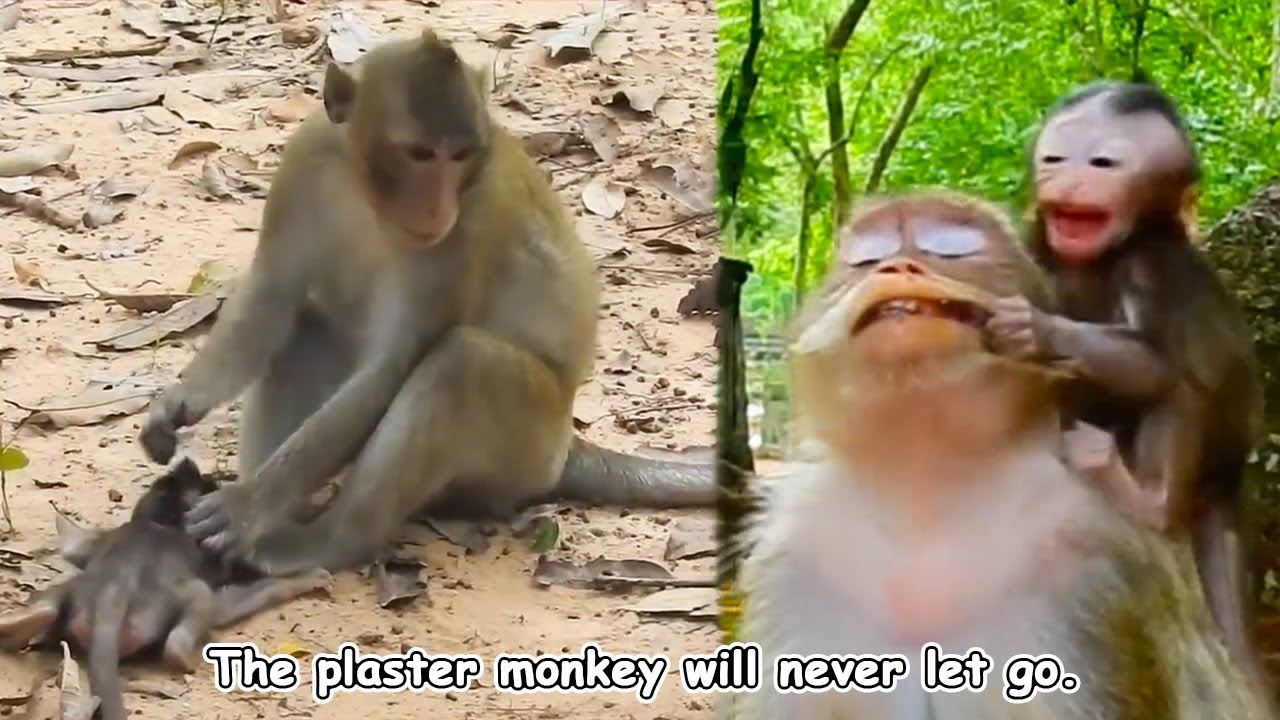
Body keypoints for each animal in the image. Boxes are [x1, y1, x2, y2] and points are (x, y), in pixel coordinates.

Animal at [0, 459, 331, 720]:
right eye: (207, 484)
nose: (187, 465)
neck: (158, 521)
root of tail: (113, 591)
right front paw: (310, 576)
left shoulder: (99, 540)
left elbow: (76, 545)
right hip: (182, 598)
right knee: (193, 621)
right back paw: (186, 658)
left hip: (75, 589)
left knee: (48, 606)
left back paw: (19, 626)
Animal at [133, 29, 713, 578]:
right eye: (419, 154)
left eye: (458, 156)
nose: (436, 208)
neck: (370, 196)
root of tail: (565, 447)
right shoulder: (305, 159)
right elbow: (274, 295)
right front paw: (180, 401)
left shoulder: (470, 217)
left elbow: (394, 365)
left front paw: (248, 506)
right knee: (310, 325)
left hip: (525, 448)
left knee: (464, 361)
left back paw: (328, 539)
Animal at [730, 191, 1271, 720]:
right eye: (867, 259)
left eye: (949, 248)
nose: (897, 267)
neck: (927, 489)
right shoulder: (799, 567)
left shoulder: (1088, 570)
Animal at [984, 81, 1267, 689]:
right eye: (1054, 158)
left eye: (1103, 163)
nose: (1064, 179)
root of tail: (1230, 479)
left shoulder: (1149, 260)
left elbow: (1153, 363)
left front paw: (1033, 329)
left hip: (1214, 451)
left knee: (1179, 388)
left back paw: (1144, 497)